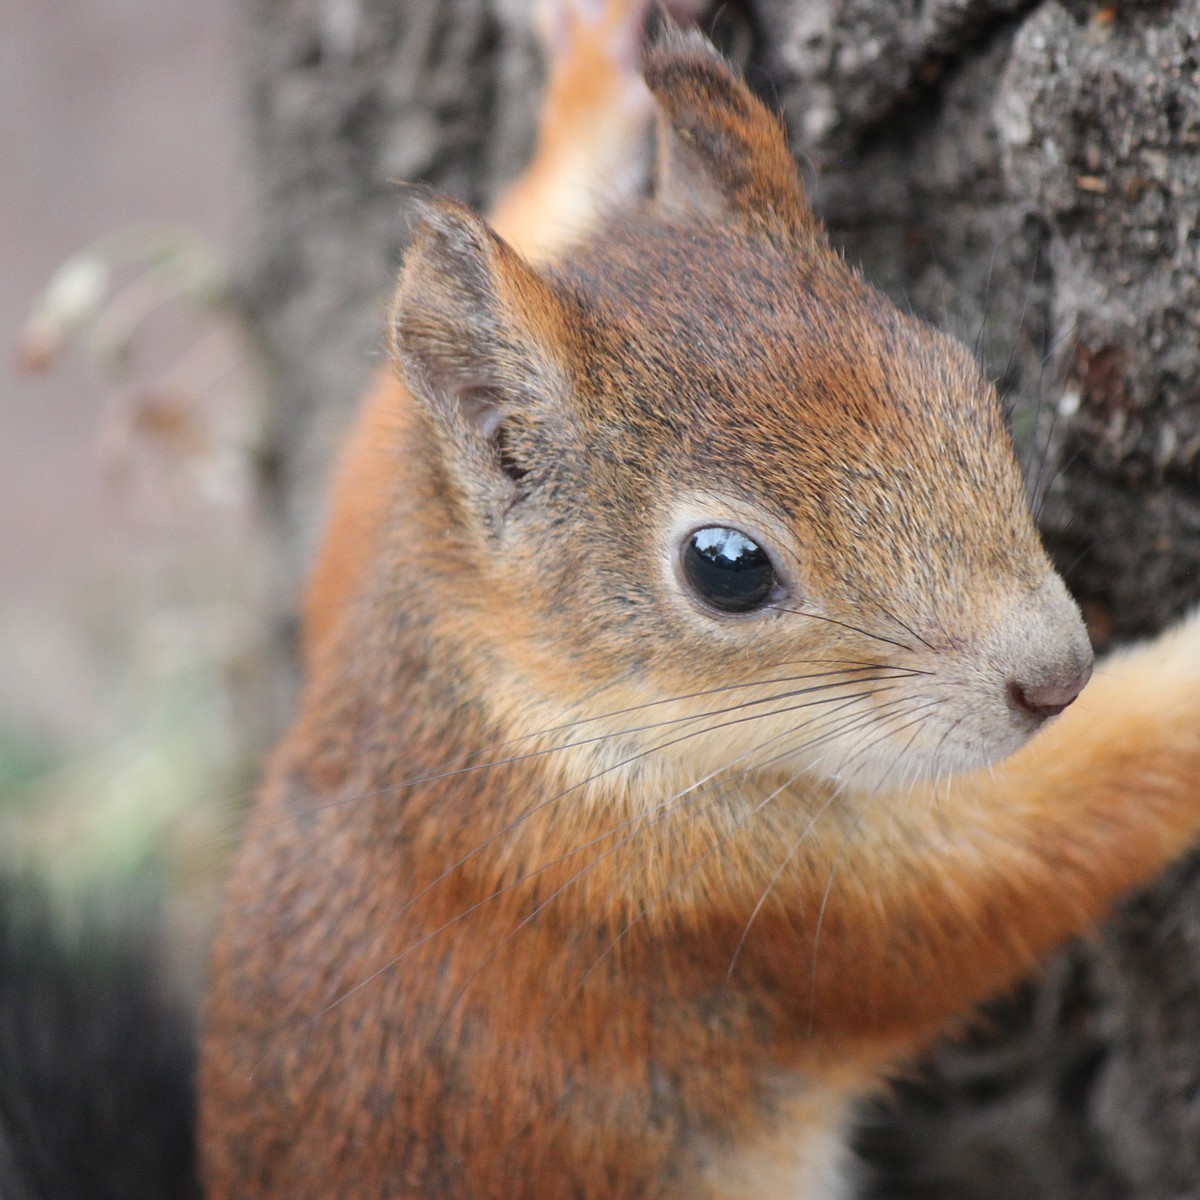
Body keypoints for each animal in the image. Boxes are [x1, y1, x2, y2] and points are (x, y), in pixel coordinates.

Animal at [201, 4, 1200, 1195]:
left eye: (963, 377)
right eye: (727, 568)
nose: (1055, 676)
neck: (496, 692)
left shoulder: (365, 554)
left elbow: (362, 453)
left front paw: (592, 77)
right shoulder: (724, 901)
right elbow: (1039, 843)